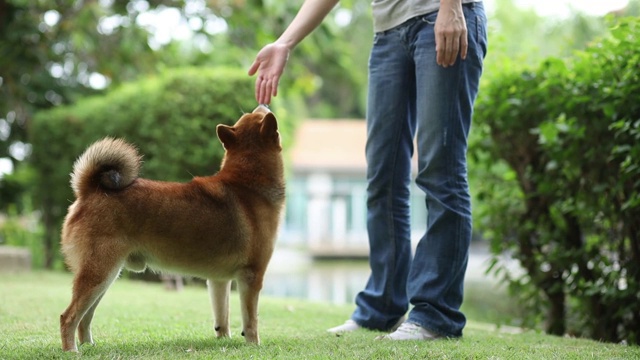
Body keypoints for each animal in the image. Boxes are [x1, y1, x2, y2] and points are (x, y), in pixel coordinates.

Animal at [59, 105, 284, 352]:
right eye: (257, 115)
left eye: (249, 115)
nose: (263, 105)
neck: (248, 184)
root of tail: (90, 190)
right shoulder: (252, 276)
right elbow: (251, 320)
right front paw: (254, 345)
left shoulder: (218, 280)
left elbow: (222, 317)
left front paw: (224, 341)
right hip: (99, 273)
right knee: (68, 317)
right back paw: (72, 350)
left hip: (105, 276)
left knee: (84, 319)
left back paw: (88, 346)